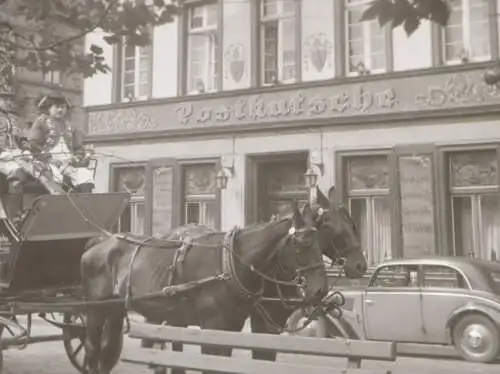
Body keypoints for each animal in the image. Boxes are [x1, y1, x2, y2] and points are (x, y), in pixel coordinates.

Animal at [80, 205, 328, 374]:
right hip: (95, 310)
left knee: (107, 352)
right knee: (92, 350)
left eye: (319, 242)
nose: (321, 290)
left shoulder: (231, 328)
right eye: (303, 244)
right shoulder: (212, 326)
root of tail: (101, 242)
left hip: (114, 310)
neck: (228, 263)